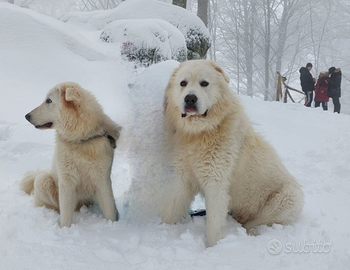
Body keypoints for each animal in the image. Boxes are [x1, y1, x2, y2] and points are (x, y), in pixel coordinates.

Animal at [20, 82, 121, 228]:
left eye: (49, 100)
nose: (26, 116)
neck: (80, 139)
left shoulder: (102, 180)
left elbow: (109, 209)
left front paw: (113, 225)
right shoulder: (67, 180)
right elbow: (66, 213)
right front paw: (65, 229)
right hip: (43, 180)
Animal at [159, 60, 304, 247]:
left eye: (204, 83)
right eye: (183, 83)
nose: (190, 98)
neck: (200, 133)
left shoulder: (216, 183)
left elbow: (213, 225)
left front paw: (213, 248)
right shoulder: (183, 179)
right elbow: (172, 208)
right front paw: (161, 231)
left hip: (288, 198)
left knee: (254, 223)